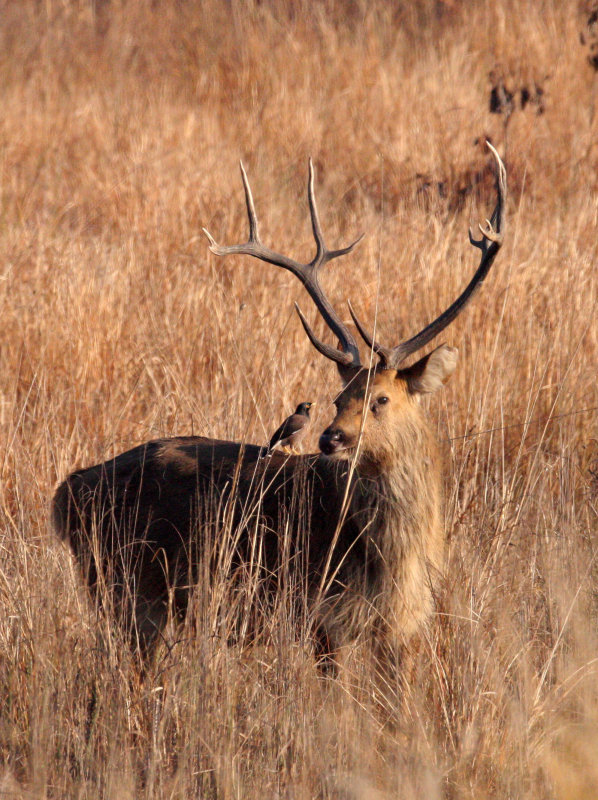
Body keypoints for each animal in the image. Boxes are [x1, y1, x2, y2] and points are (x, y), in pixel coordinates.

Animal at [52, 145, 506, 665]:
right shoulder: (325, 615)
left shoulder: (402, 628)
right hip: (130, 586)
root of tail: (65, 493)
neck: (397, 559)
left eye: (382, 398)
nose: (331, 438)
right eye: (339, 397)